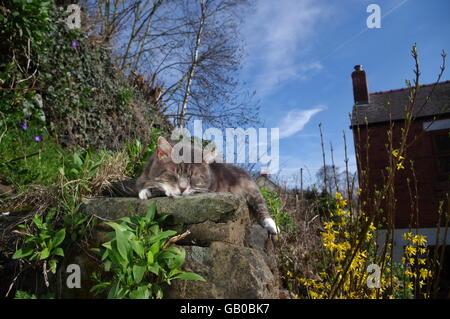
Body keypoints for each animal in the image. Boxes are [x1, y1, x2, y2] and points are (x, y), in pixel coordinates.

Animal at [135, 137, 280, 235]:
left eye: (192, 177)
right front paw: (146, 190)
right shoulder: (144, 174)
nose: (182, 188)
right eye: (174, 174)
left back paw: (272, 225)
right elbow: (144, 183)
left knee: (260, 204)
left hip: (250, 188)